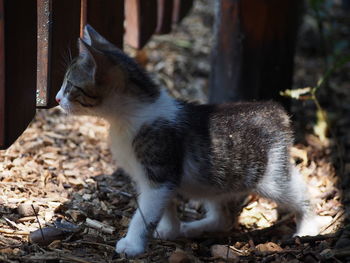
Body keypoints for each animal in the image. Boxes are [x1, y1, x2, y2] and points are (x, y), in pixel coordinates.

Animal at [56, 25, 322, 258]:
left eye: (70, 85)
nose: (57, 98)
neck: (129, 117)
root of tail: (274, 110)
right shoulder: (159, 179)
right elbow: (164, 206)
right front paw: (169, 228)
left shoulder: (158, 173)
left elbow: (144, 213)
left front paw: (132, 245)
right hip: (215, 179)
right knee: (223, 218)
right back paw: (191, 228)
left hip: (269, 177)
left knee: (301, 193)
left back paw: (308, 227)